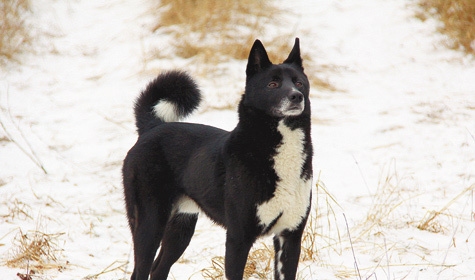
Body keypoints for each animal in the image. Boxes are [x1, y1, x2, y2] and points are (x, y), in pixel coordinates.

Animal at [123, 37, 312, 280]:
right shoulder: (238, 238)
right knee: (140, 271)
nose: (296, 96)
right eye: (273, 84)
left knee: (158, 270)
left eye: (299, 83)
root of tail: (152, 128)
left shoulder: (290, 237)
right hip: (149, 223)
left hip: (180, 228)